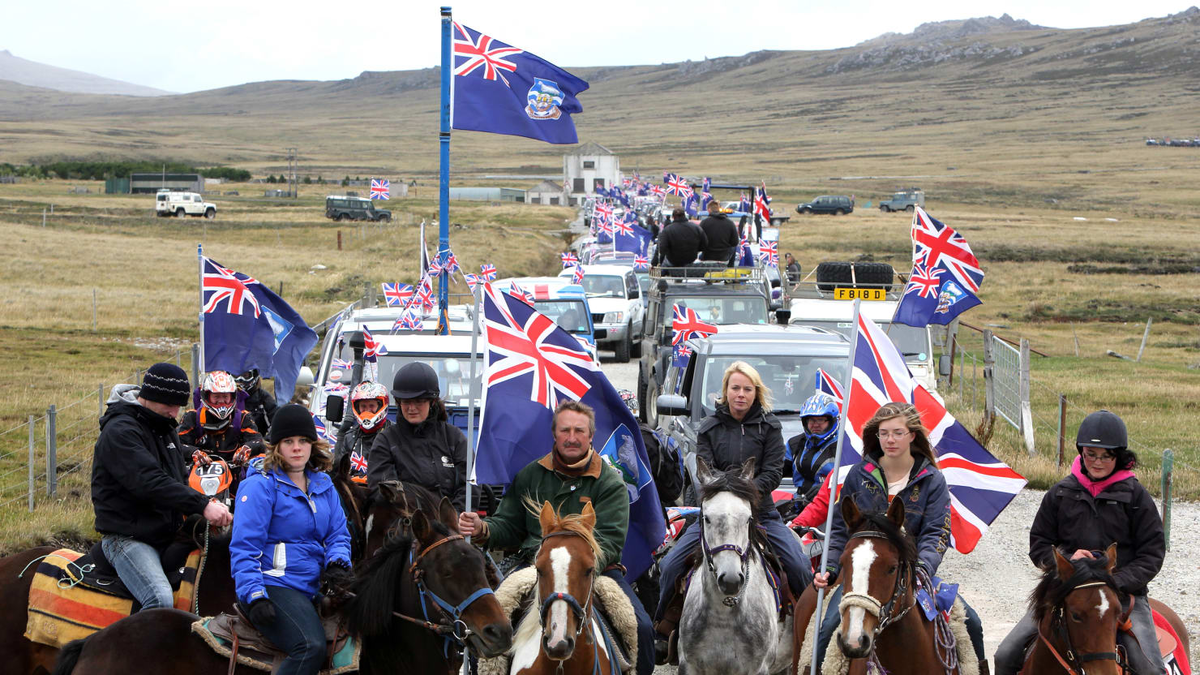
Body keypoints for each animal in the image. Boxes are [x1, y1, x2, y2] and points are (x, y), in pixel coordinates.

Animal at [681, 456, 792, 672]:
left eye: (748, 518)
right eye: (706, 518)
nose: (731, 580)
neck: (723, 615)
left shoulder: (758, 669)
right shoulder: (688, 665)